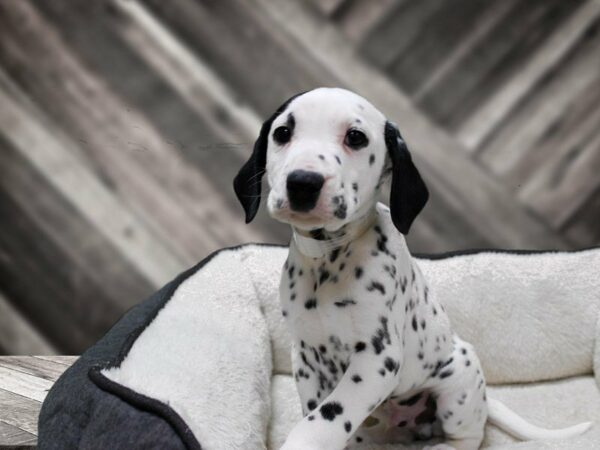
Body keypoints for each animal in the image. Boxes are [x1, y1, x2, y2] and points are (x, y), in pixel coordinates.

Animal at [233, 88, 592, 450]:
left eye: (355, 137)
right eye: (282, 133)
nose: (303, 182)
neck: (330, 258)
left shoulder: (378, 357)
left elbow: (326, 417)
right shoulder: (306, 358)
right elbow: (317, 411)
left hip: (457, 383)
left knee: (468, 438)